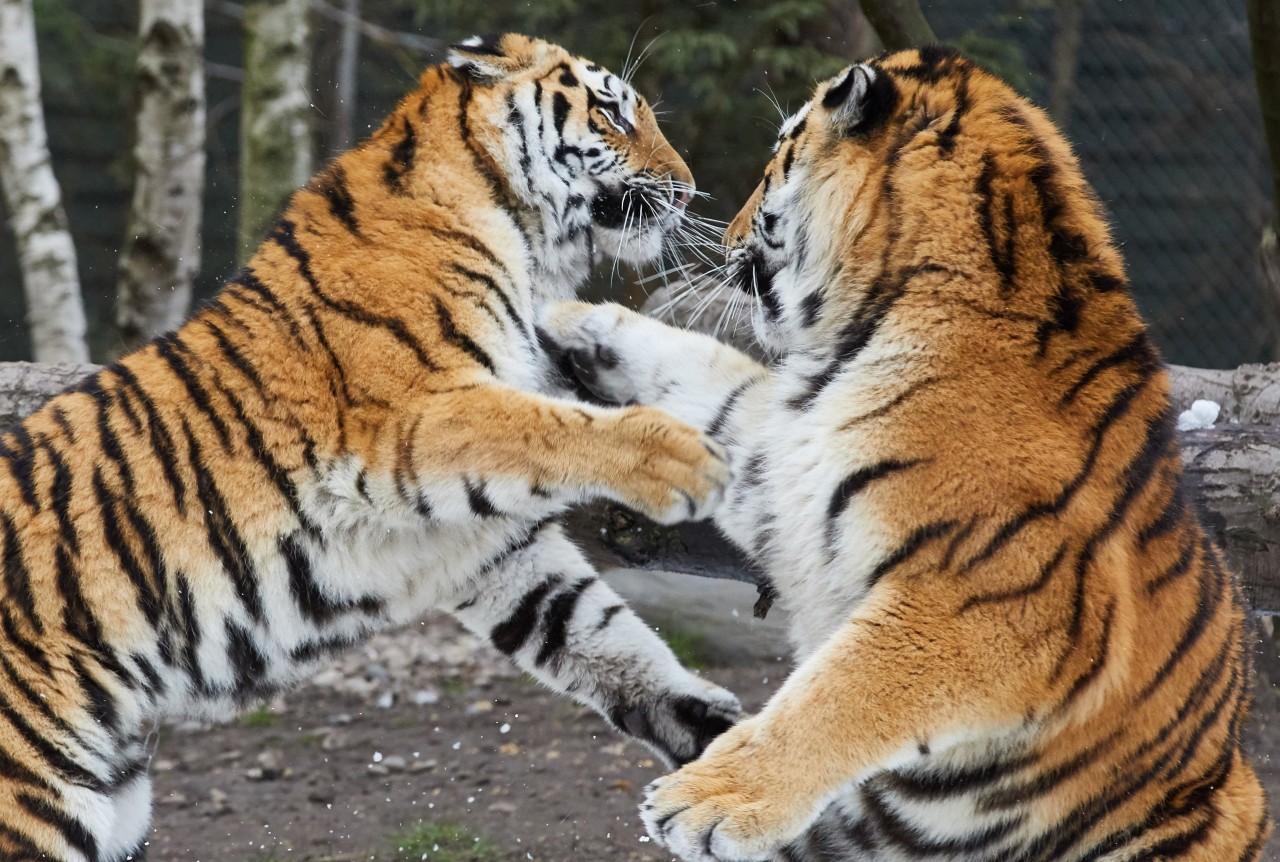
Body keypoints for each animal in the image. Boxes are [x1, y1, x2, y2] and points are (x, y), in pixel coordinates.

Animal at [0, 33, 742, 860]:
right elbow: (555, 426)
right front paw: (685, 460)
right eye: (613, 114)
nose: (689, 191)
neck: (520, 235)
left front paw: (721, 741)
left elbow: (602, 637)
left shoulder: (487, 547)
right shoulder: (418, 419)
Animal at [545, 47, 1274, 860]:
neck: (877, 320)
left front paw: (703, 799)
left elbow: (839, 697)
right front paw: (574, 319)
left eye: (774, 160)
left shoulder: (976, 602)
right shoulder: (782, 460)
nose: (727, 232)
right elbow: (707, 375)